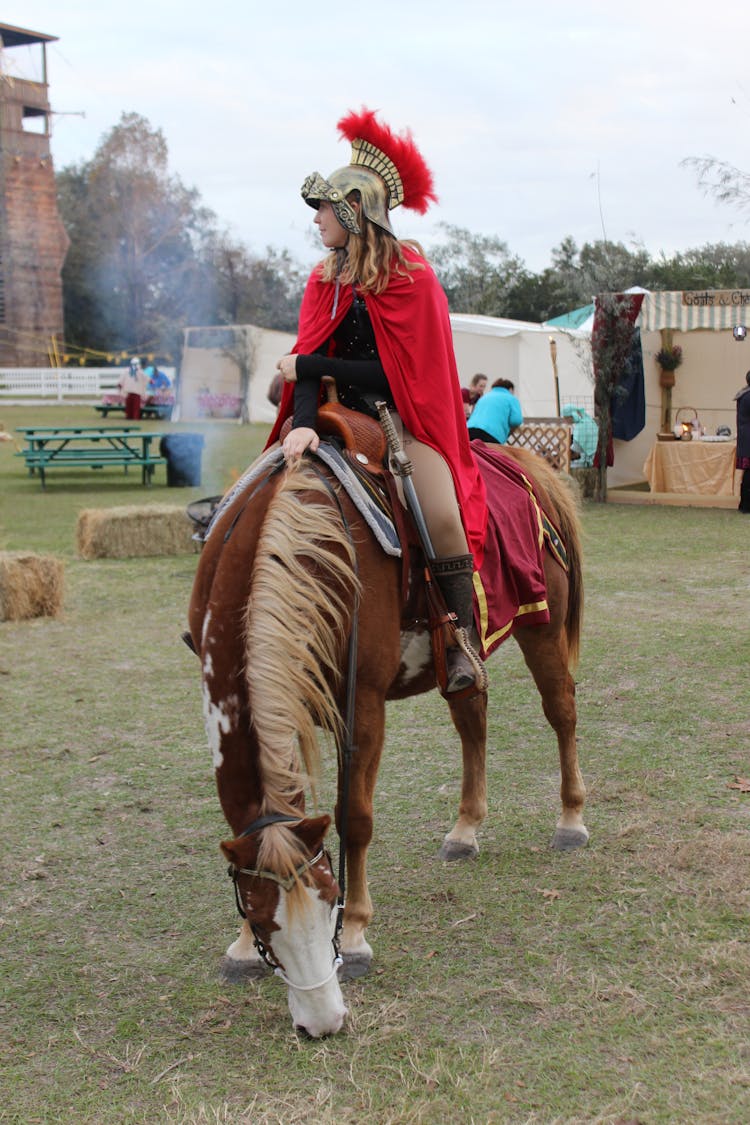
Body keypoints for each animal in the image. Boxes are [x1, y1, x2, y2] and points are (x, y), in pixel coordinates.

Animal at [186, 441, 584, 1035]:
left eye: (330, 900)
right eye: (261, 922)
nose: (322, 1022)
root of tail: (519, 460)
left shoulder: (364, 703)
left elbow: (354, 818)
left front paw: (355, 936)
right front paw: (237, 948)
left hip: (543, 625)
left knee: (561, 712)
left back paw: (571, 819)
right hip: (457, 662)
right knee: (474, 721)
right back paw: (465, 830)